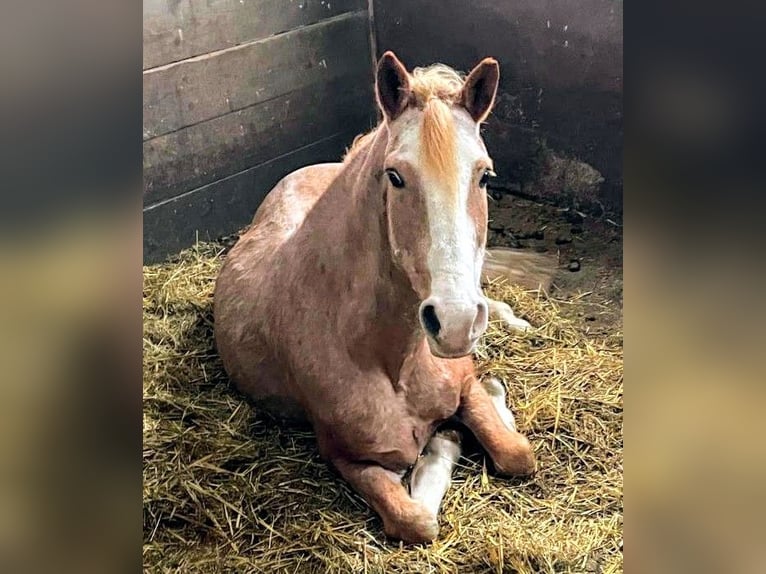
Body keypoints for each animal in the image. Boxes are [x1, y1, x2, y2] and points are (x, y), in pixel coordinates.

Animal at [216, 50, 560, 544]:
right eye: (395, 176)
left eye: (485, 176)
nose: (454, 323)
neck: (389, 360)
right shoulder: (345, 457)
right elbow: (416, 521)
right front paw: (442, 444)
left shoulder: (464, 380)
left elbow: (517, 453)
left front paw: (490, 398)